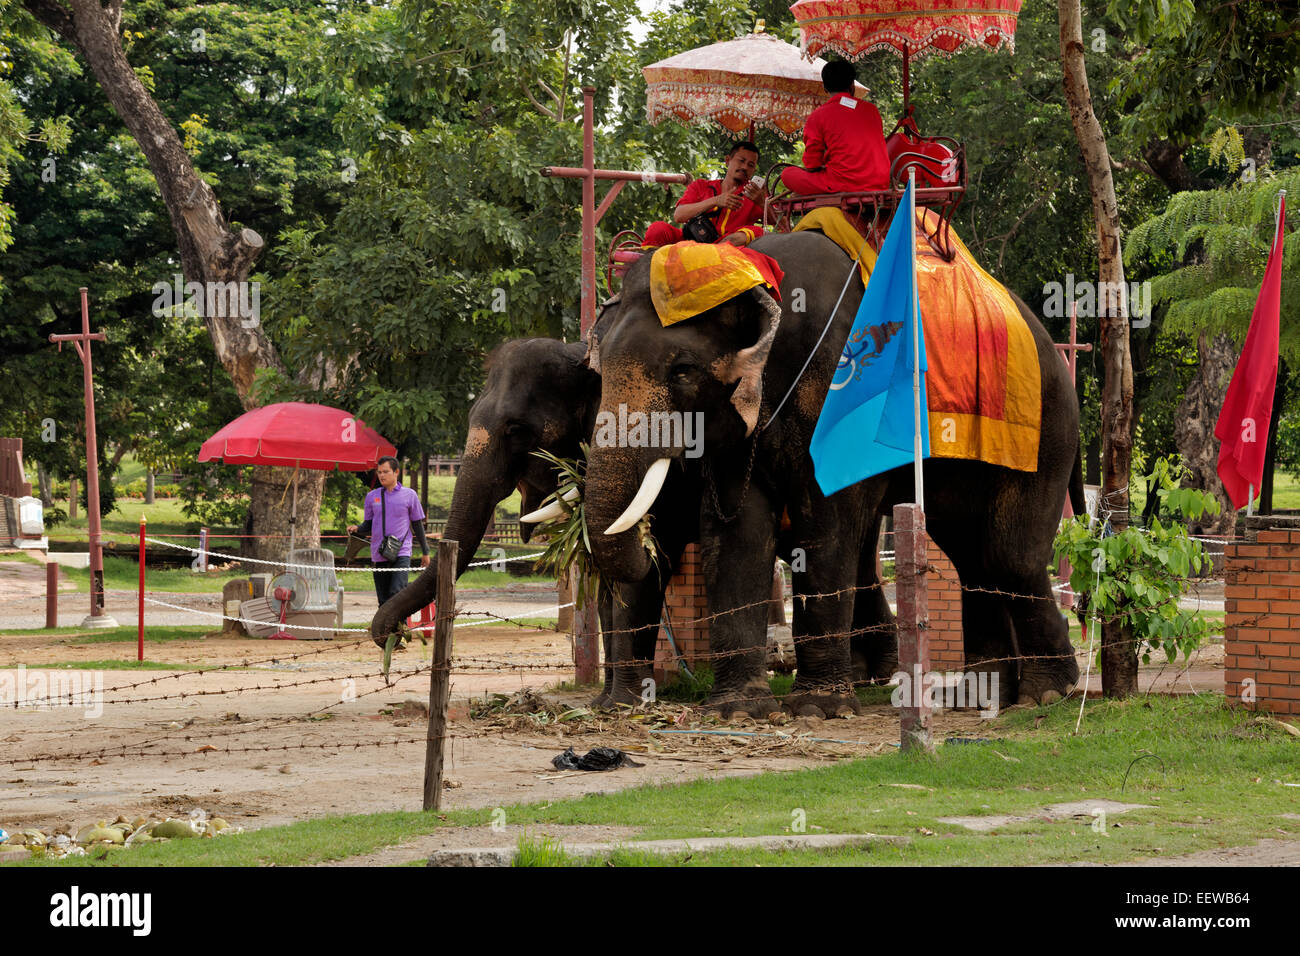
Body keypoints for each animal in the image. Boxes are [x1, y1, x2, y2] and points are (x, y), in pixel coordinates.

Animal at [582, 229, 1082, 718]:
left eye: (683, 370)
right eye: (599, 371)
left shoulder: (840, 392)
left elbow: (827, 524)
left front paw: (818, 708)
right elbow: (738, 533)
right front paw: (738, 712)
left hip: (1044, 426)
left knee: (1008, 555)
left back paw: (1047, 694)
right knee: (969, 553)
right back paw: (978, 698)